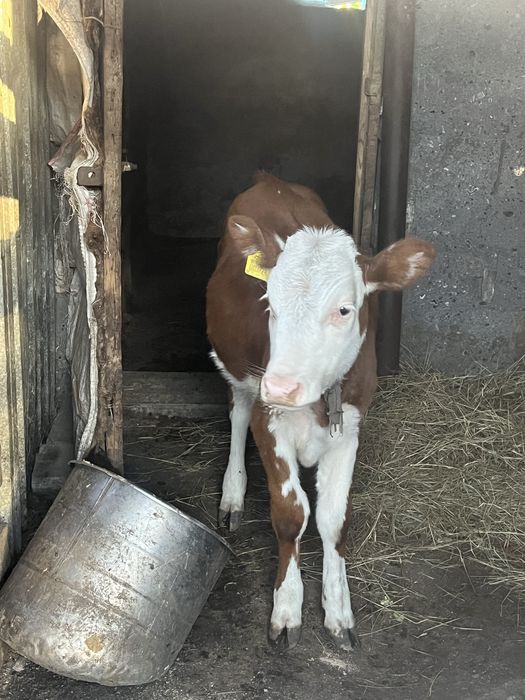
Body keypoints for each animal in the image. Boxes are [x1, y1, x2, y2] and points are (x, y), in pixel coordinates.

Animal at [206, 173, 435, 651]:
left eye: (344, 309)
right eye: (270, 304)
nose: (281, 386)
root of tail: (269, 181)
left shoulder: (350, 426)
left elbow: (333, 519)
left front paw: (339, 608)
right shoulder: (269, 421)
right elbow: (292, 515)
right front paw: (287, 607)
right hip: (237, 371)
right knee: (237, 413)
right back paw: (233, 493)